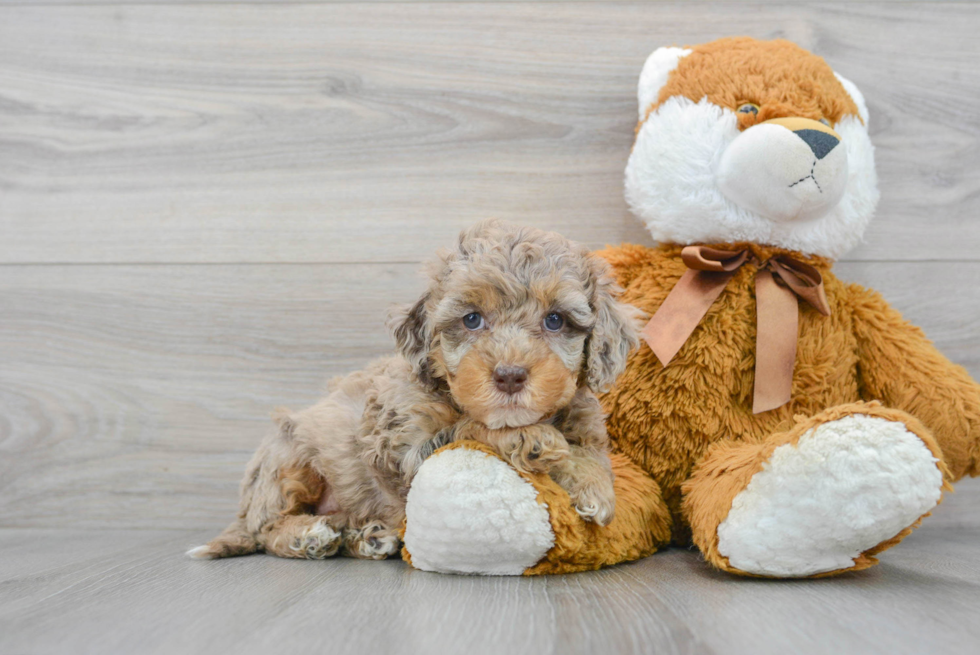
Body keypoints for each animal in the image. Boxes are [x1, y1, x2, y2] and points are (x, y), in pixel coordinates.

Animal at [189, 220, 644, 564]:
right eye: (472, 319)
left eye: (555, 320)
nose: (510, 376)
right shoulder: (405, 445)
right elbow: (471, 428)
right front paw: (529, 438)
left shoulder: (585, 422)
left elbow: (590, 454)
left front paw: (594, 488)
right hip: (287, 459)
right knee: (266, 529)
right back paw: (308, 535)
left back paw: (368, 538)